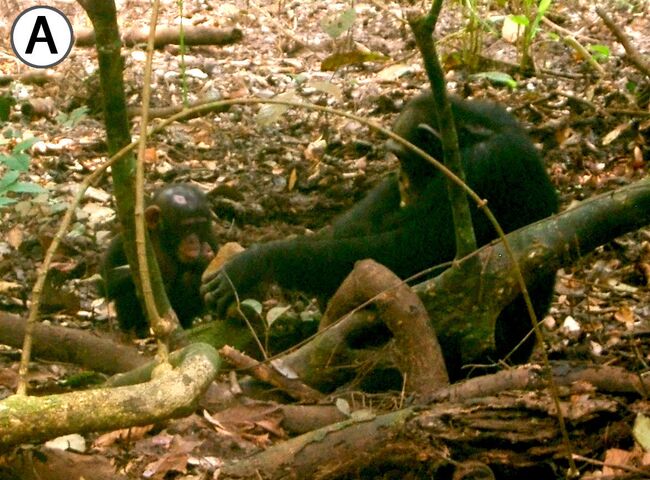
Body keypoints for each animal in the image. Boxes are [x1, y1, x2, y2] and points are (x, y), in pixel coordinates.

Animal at [102, 184, 218, 338]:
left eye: (199, 226)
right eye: (186, 227)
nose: (193, 241)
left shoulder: (211, 238)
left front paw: (204, 257)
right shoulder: (125, 240)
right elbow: (105, 281)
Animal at [200, 91, 556, 376]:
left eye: (402, 156)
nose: (399, 177)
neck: (471, 135)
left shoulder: (479, 172)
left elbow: (405, 251)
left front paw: (255, 263)